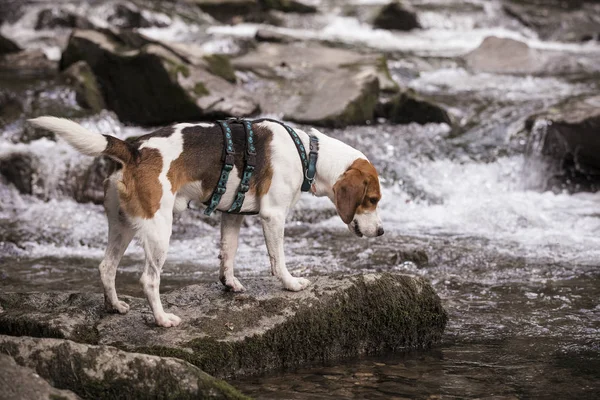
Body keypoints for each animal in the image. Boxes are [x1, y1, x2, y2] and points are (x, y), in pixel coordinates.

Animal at [28, 116, 382, 328]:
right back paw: (162, 319)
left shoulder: (232, 215)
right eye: (373, 200)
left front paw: (230, 284)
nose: (380, 231)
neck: (308, 154)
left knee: (106, 267)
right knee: (148, 279)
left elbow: (228, 253)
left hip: (123, 225)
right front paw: (291, 283)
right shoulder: (273, 216)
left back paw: (114, 306)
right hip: (159, 229)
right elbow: (278, 258)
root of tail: (134, 149)